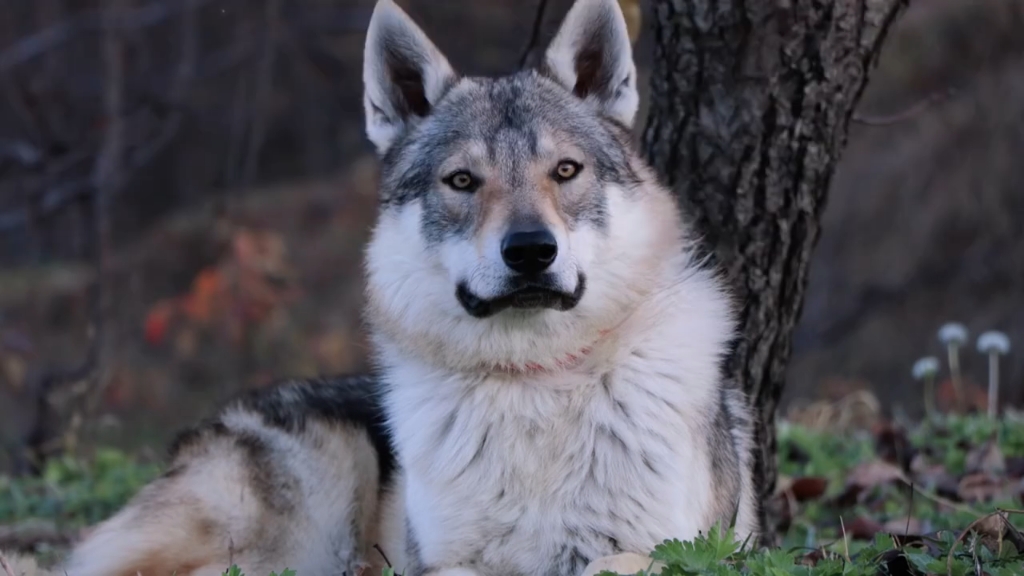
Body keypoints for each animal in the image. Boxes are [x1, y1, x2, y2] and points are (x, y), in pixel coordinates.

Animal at [2, 0, 761, 569]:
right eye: (462, 181)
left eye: (566, 171)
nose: (530, 251)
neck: (534, 386)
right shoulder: (445, 562)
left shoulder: (672, 549)